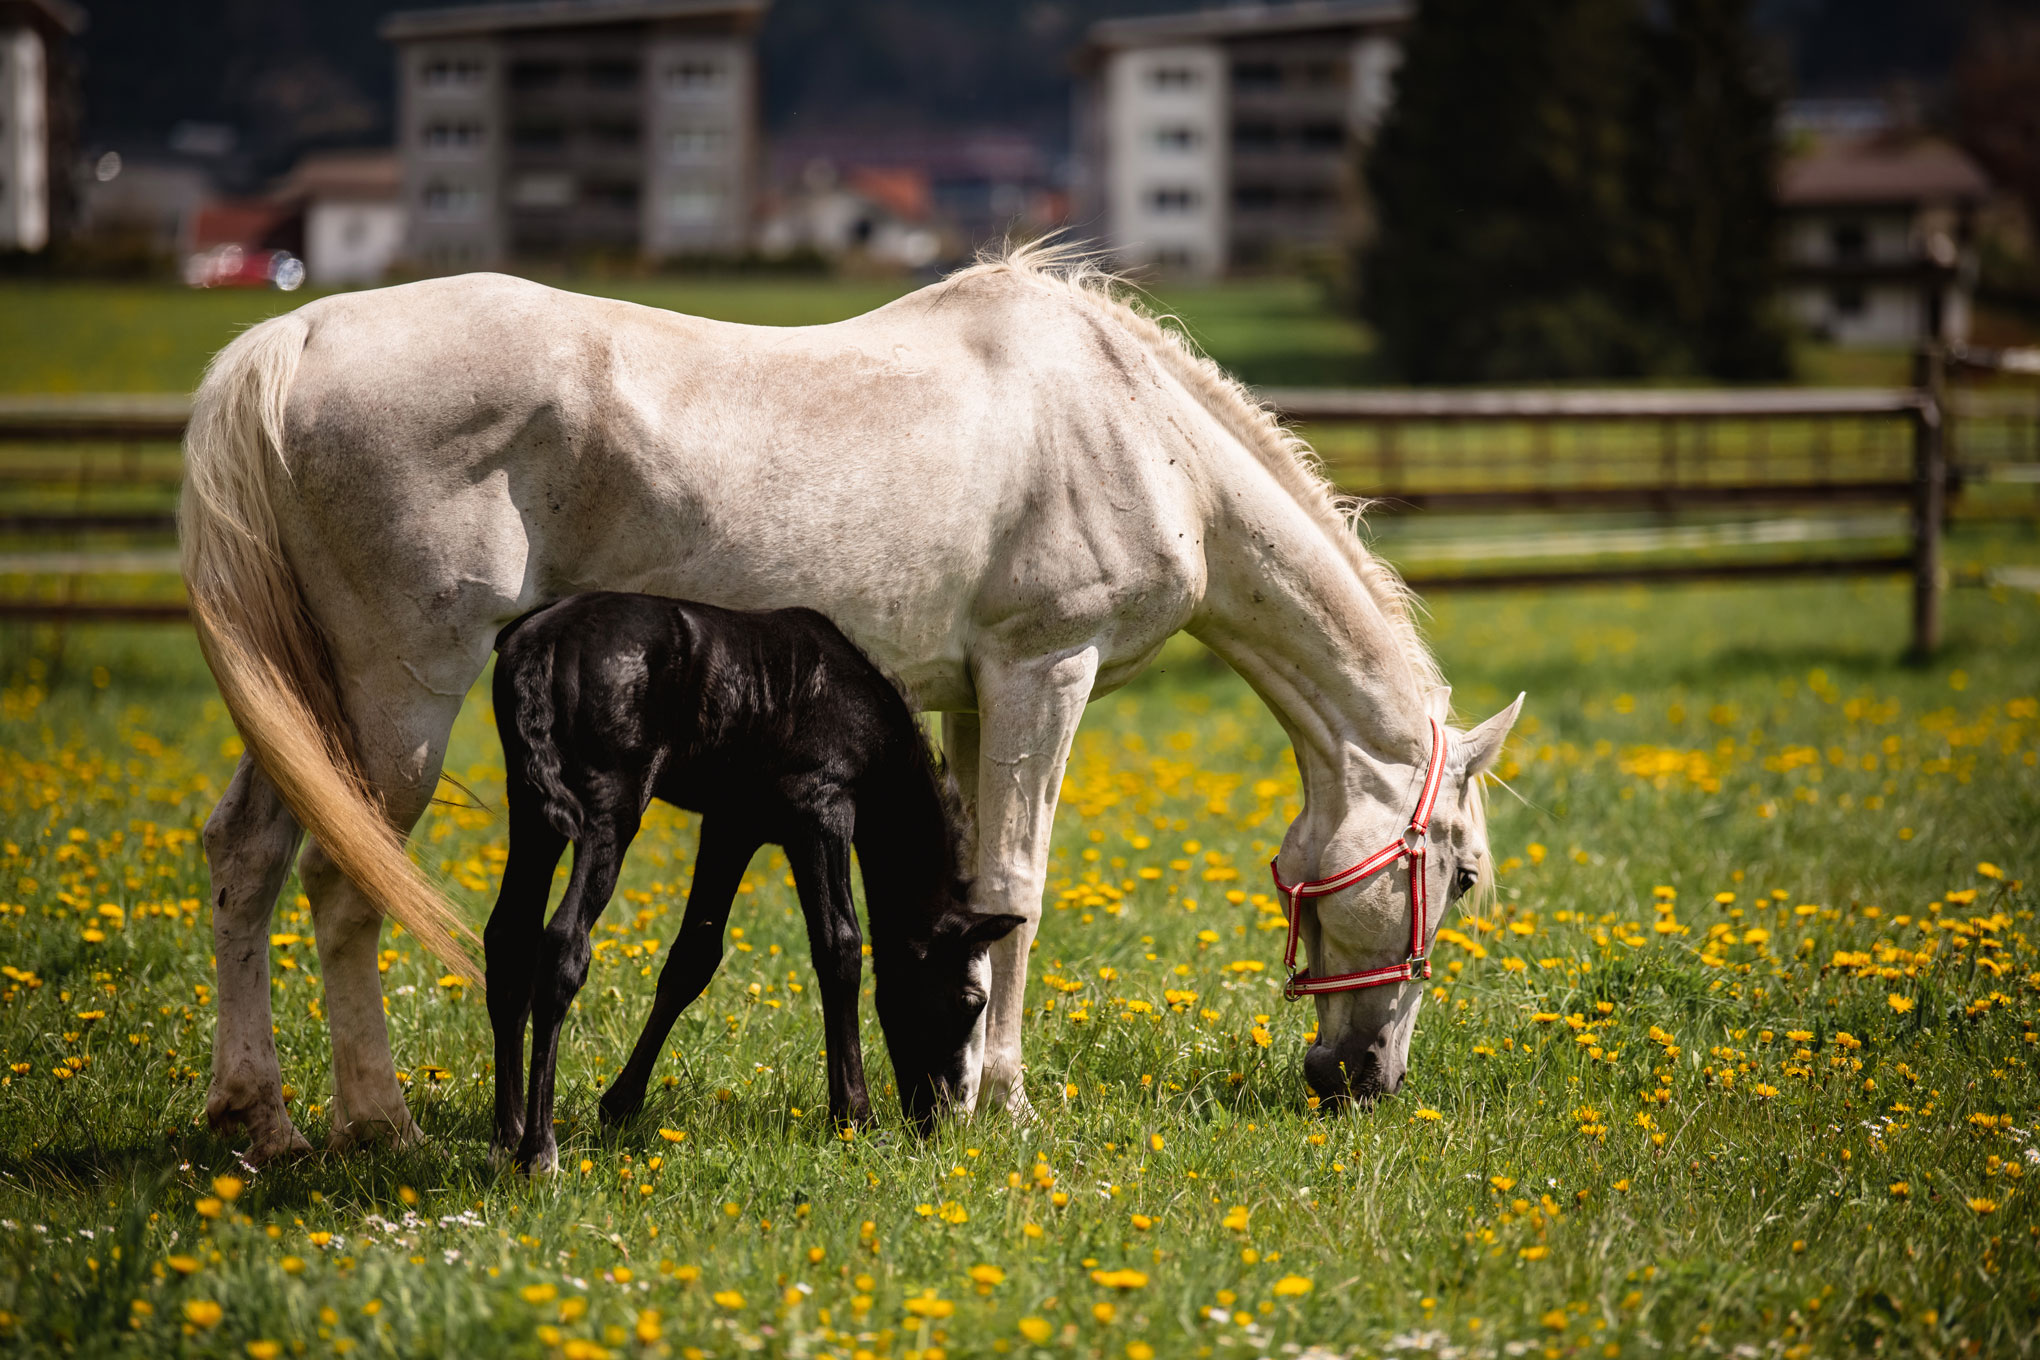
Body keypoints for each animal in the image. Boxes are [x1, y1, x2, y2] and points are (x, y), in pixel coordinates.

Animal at [479, 591, 1020, 1174]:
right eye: (970, 1000)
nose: (945, 1120)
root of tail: (545, 642)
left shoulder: (732, 826)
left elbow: (693, 957)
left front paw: (620, 1105)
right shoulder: (820, 808)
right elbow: (841, 947)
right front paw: (855, 1117)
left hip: (531, 810)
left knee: (508, 937)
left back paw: (506, 1137)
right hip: (608, 811)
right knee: (563, 946)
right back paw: (539, 1151)